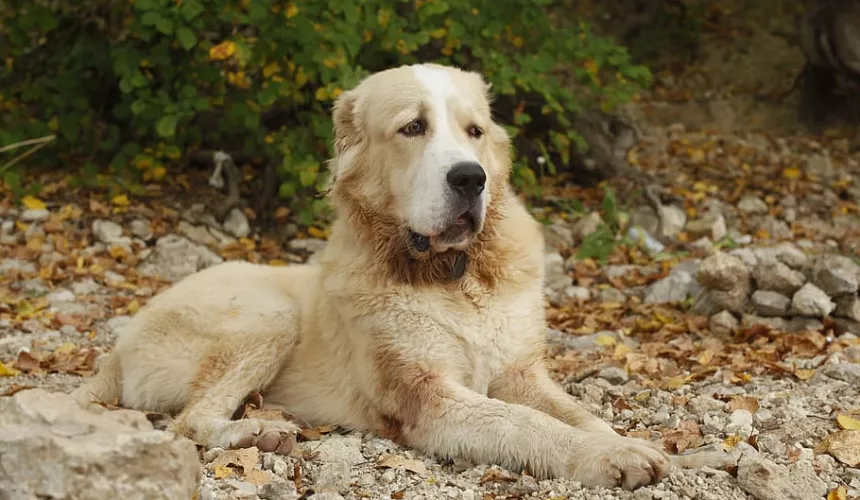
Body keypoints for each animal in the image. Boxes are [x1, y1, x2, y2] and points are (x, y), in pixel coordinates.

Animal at [72, 62, 672, 488]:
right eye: (413, 128)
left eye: (474, 131)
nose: (470, 178)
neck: (455, 276)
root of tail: (117, 349)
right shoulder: (428, 397)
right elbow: (526, 424)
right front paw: (610, 457)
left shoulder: (522, 374)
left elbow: (576, 414)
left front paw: (627, 443)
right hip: (269, 315)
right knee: (189, 421)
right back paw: (257, 432)